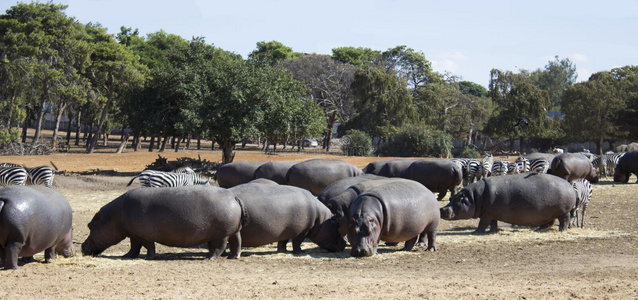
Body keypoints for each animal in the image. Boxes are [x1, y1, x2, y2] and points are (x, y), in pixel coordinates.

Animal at [82, 186, 245, 258]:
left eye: (89, 226)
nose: (82, 246)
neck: (114, 216)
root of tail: (234, 197)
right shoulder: (133, 234)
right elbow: (134, 247)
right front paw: (126, 256)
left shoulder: (142, 235)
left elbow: (148, 246)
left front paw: (148, 257)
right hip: (234, 230)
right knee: (236, 242)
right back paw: (233, 256)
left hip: (222, 233)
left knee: (220, 246)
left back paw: (210, 257)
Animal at [442, 172, 576, 233]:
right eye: (451, 198)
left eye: (458, 199)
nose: (442, 209)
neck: (474, 197)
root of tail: (569, 185)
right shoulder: (491, 213)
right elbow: (493, 223)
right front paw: (492, 231)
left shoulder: (486, 214)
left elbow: (482, 224)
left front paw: (476, 232)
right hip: (549, 212)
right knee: (549, 221)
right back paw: (539, 229)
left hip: (563, 211)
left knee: (564, 220)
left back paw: (562, 230)